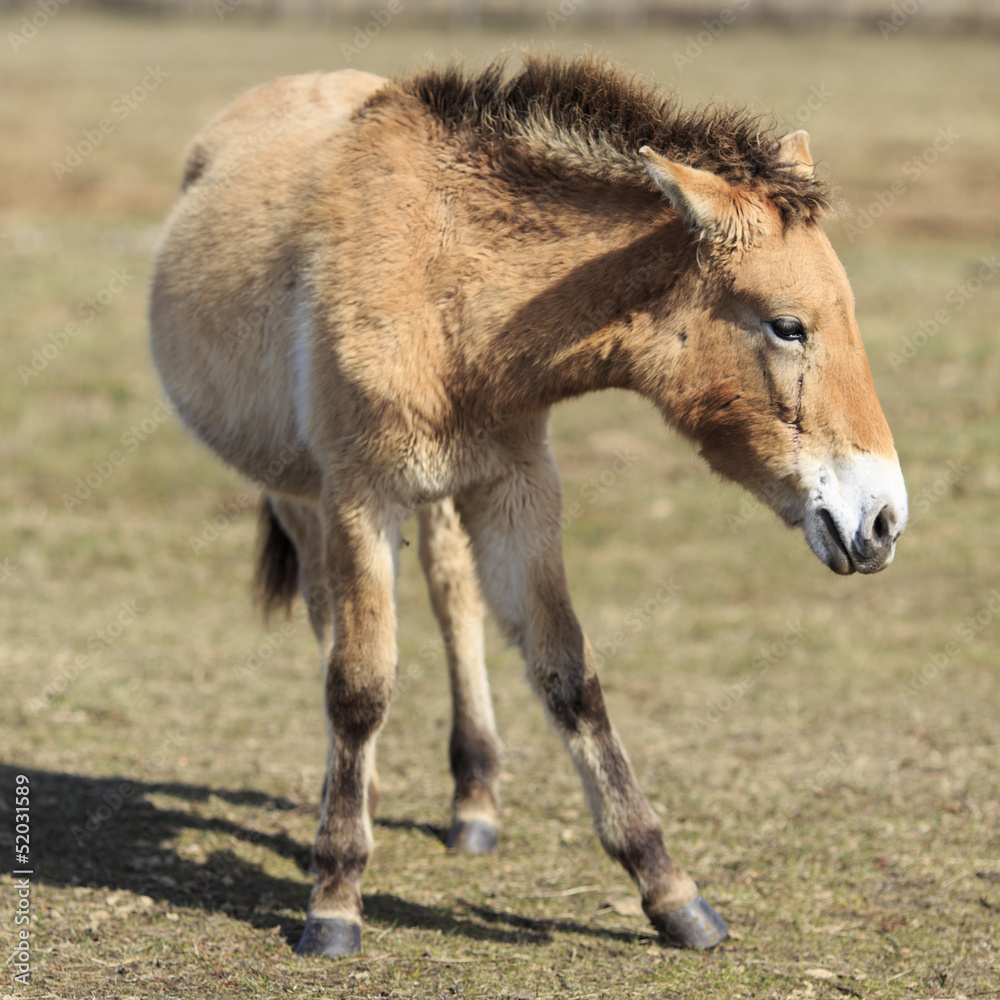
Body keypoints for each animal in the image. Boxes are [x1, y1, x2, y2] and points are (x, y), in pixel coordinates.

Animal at [152, 56, 912, 960]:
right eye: (788, 325)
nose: (884, 520)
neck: (446, 283)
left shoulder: (518, 491)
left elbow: (567, 676)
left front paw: (671, 891)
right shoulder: (359, 497)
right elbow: (361, 684)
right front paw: (334, 899)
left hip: (441, 498)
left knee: (452, 597)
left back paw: (473, 800)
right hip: (300, 493)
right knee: (330, 619)